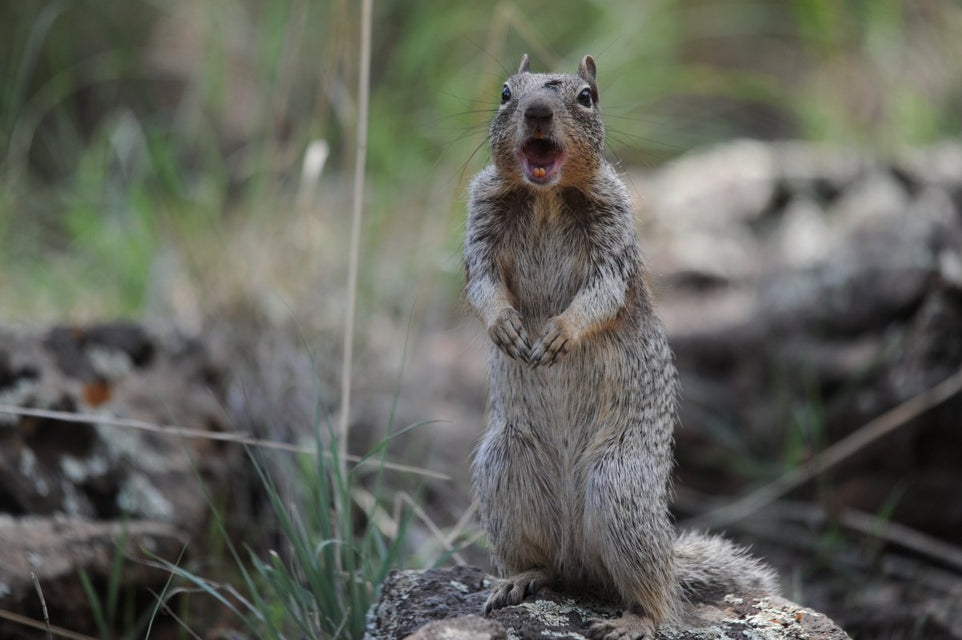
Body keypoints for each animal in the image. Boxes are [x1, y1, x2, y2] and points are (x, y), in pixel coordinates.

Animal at [462, 55, 776, 640]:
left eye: (587, 97)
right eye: (505, 93)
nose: (537, 112)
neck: (544, 197)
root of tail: (580, 556)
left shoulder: (615, 234)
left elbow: (602, 292)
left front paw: (559, 333)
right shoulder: (478, 223)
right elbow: (480, 283)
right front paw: (506, 328)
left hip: (619, 489)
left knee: (663, 599)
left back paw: (638, 620)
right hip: (504, 468)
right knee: (546, 564)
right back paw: (518, 580)